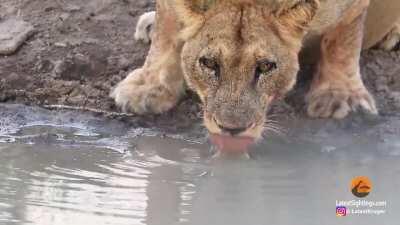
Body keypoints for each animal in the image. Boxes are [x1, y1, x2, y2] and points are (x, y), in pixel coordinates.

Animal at [111, 0, 400, 153]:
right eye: (209, 63)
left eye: (266, 67)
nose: (231, 130)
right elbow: (167, 27)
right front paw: (149, 86)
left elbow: (344, 37)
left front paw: (341, 96)